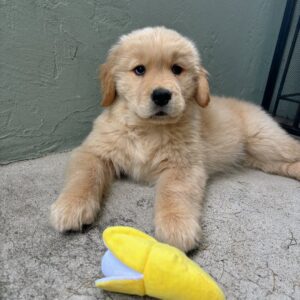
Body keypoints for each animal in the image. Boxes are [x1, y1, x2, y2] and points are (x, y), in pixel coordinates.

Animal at [49, 26, 300, 251]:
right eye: (139, 70)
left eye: (177, 69)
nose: (161, 95)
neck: (147, 129)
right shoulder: (92, 151)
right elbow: (85, 175)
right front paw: (71, 206)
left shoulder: (185, 165)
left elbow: (174, 191)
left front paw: (177, 226)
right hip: (261, 158)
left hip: (266, 141)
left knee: (293, 148)